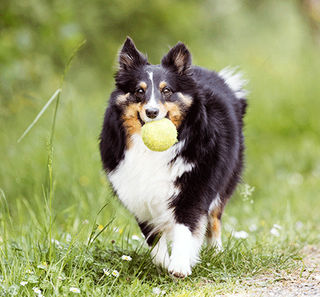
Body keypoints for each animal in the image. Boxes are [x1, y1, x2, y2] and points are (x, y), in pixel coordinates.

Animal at [100, 37, 248, 278]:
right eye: (139, 91)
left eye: (167, 90)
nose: (151, 112)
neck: (150, 151)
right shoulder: (138, 194)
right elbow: (153, 236)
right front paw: (162, 263)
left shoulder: (193, 189)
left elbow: (186, 228)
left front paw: (179, 264)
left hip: (225, 179)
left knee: (215, 219)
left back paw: (216, 253)